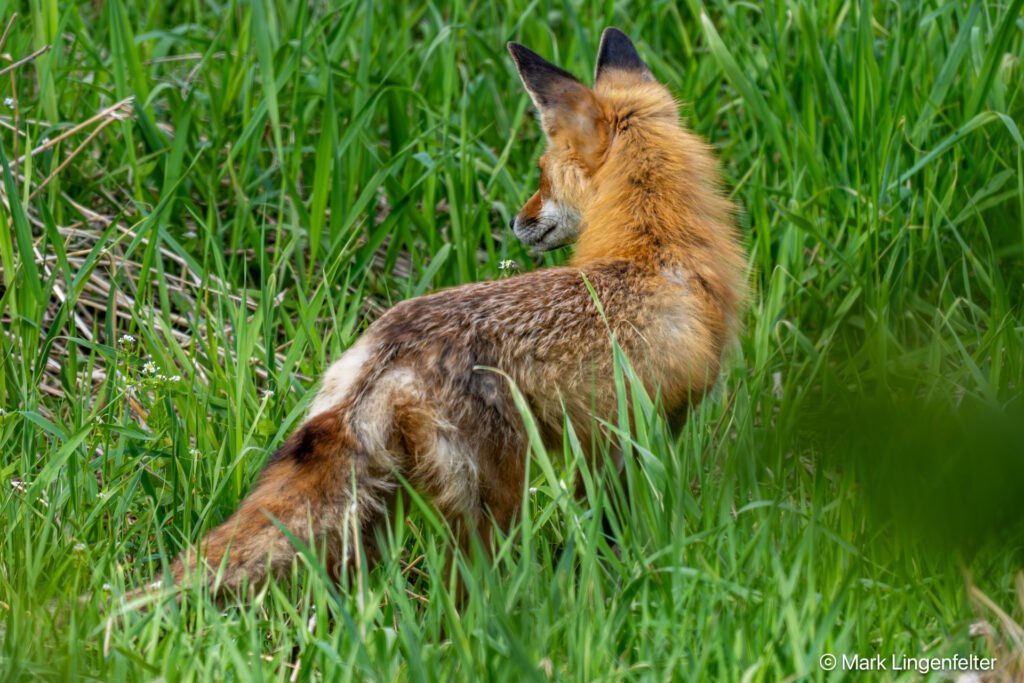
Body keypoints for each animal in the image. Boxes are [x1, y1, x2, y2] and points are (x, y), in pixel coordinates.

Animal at [161, 28, 746, 595]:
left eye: (541, 173)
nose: (515, 222)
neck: (654, 242)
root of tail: (386, 352)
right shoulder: (644, 429)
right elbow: (615, 525)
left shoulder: (608, 441)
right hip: (493, 504)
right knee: (464, 596)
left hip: (376, 510)